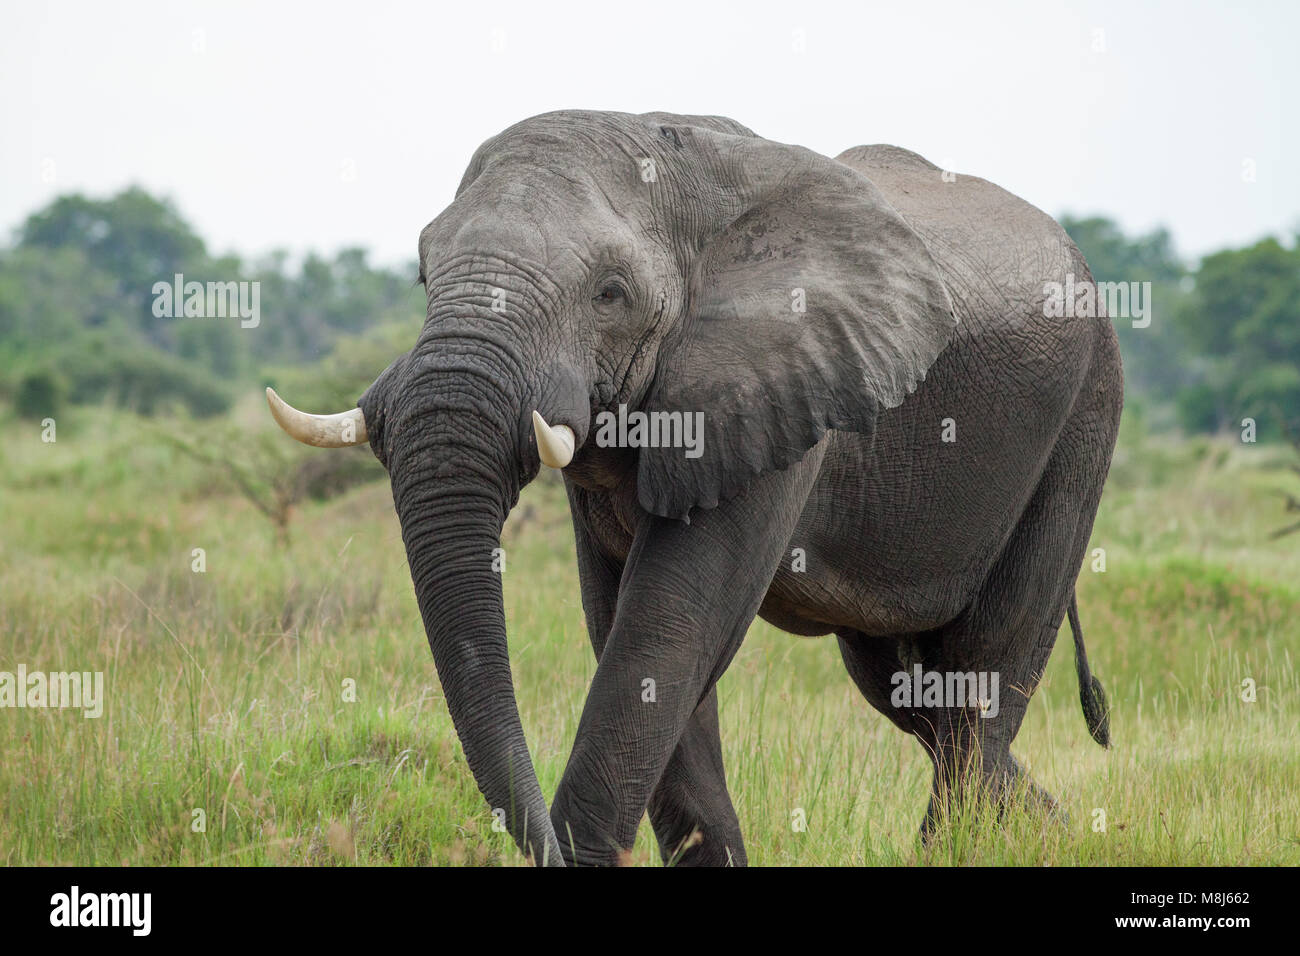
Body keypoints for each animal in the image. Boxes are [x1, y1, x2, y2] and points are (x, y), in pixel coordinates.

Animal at [263, 110, 1118, 868]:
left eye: (610, 292)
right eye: (422, 273)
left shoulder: (780, 382)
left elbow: (669, 627)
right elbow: (632, 632)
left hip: (1083, 419)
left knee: (979, 682)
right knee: (912, 694)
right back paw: (1055, 827)